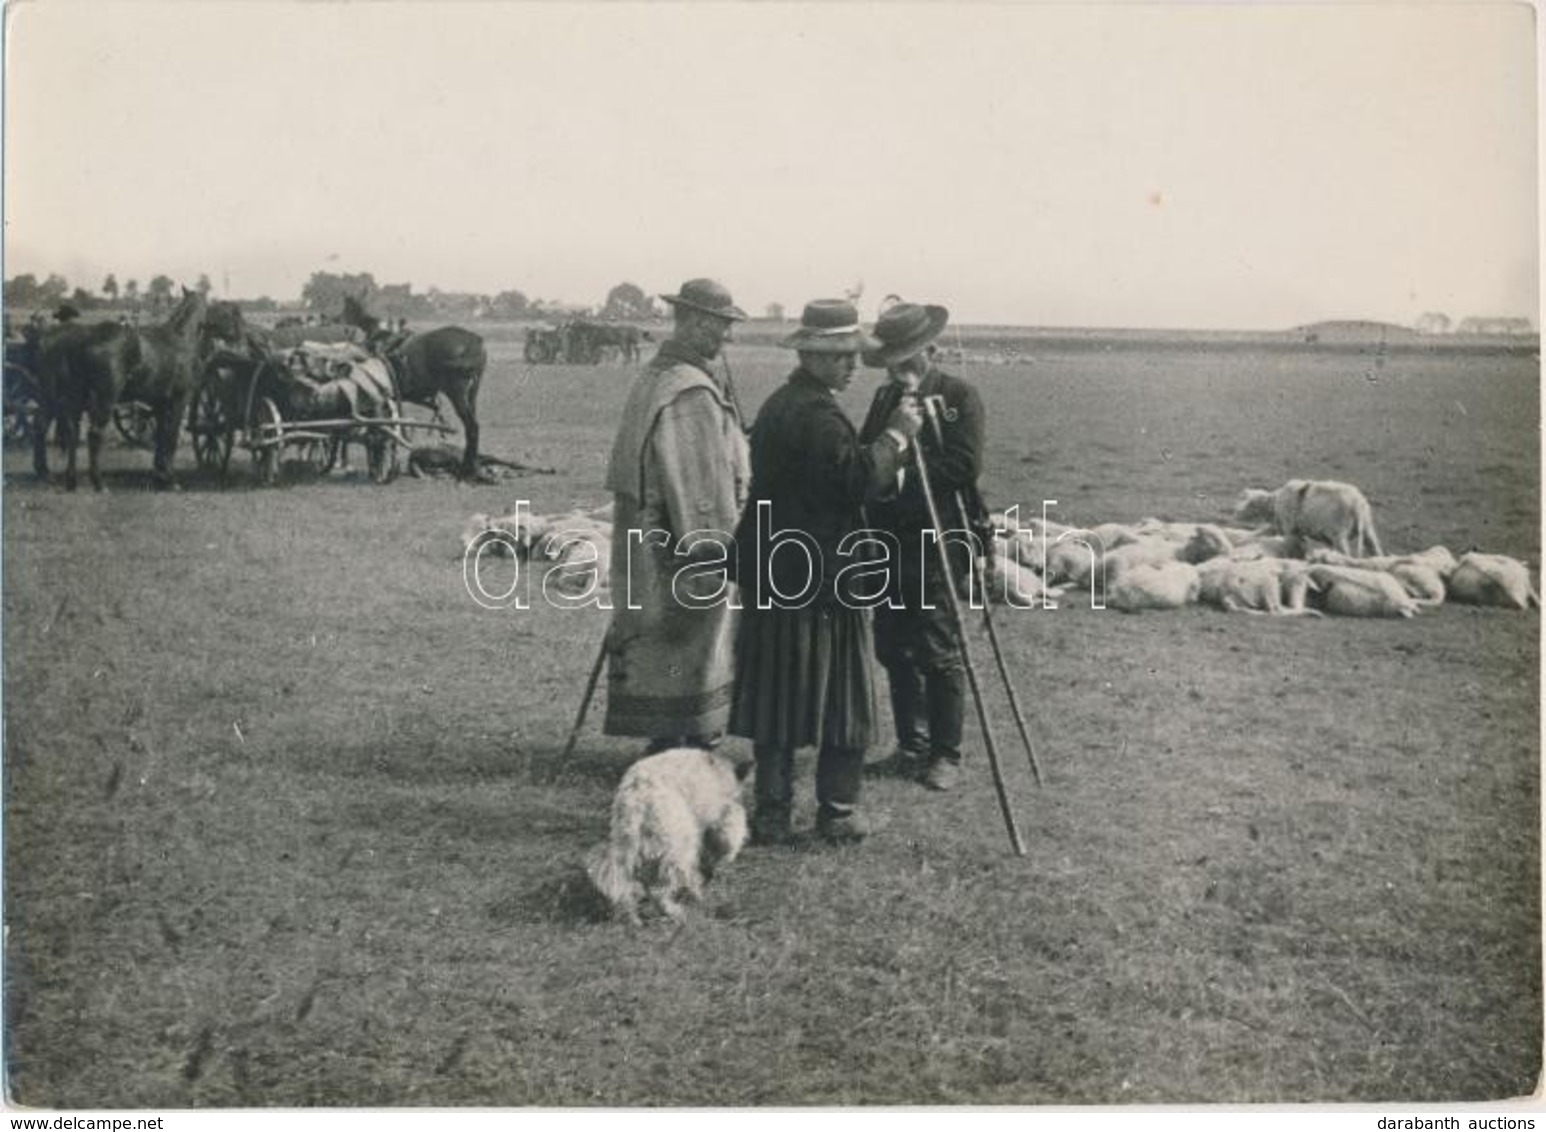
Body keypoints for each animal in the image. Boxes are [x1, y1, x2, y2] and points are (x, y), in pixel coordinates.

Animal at [35, 289, 210, 488]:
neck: (180, 337)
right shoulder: (179, 400)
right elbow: (171, 437)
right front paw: (170, 478)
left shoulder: (159, 404)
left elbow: (160, 437)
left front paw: (160, 474)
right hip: (103, 399)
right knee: (93, 433)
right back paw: (98, 482)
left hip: (64, 397)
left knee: (65, 430)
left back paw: (63, 477)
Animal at [341, 293, 485, 479]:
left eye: (346, 307)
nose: (340, 323)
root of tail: (474, 341)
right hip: (471, 395)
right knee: (473, 427)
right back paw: (472, 467)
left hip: (457, 394)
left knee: (471, 427)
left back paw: (467, 470)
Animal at [584, 748, 748, 921]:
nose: (712, 873)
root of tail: (637, 796)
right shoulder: (725, 816)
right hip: (680, 845)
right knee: (661, 889)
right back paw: (677, 909)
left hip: (630, 844)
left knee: (626, 884)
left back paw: (632, 916)